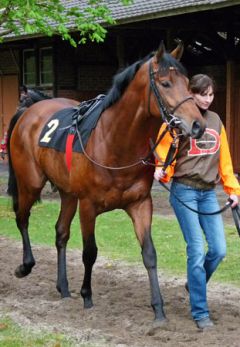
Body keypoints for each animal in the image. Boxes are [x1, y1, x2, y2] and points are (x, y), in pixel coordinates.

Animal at [7, 43, 206, 326]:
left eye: (188, 84)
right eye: (166, 83)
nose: (197, 125)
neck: (114, 141)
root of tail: (29, 111)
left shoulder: (140, 204)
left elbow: (149, 253)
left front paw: (158, 309)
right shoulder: (88, 206)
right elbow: (90, 252)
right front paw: (87, 296)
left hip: (68, 193)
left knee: (60, 233)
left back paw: (63, 287)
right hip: (30, 183)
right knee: (22, 218)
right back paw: (25, 266)